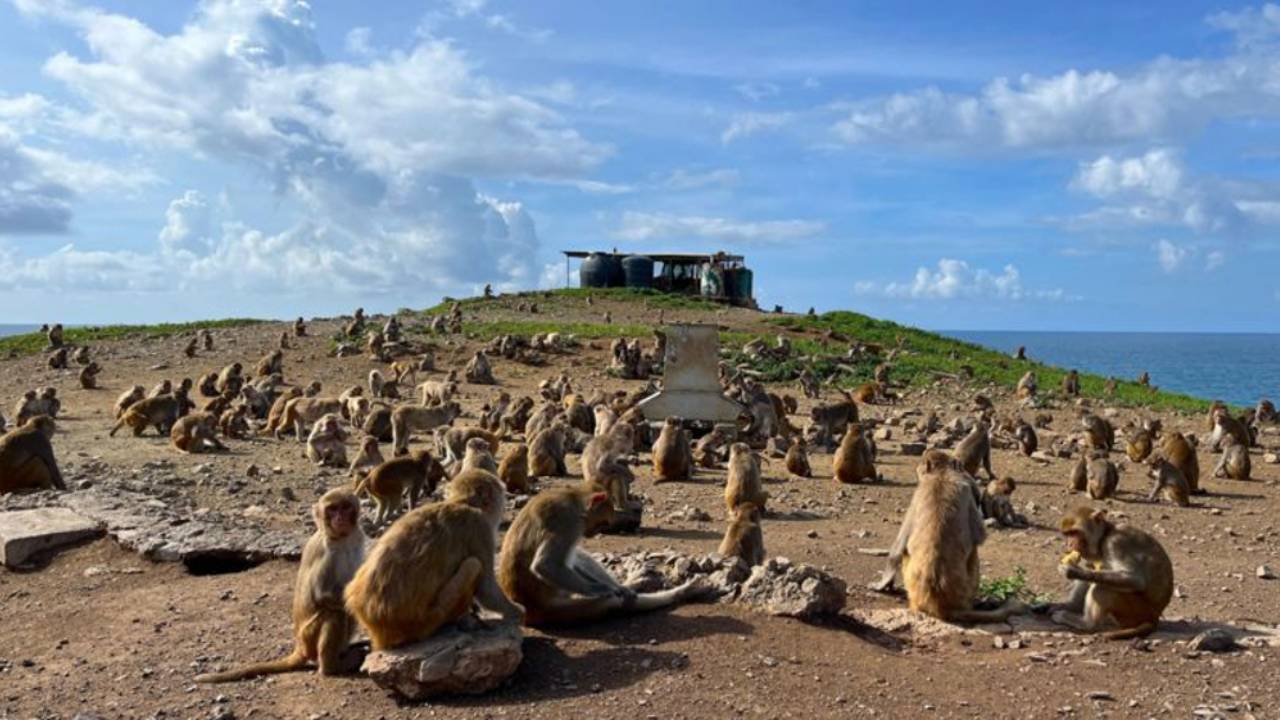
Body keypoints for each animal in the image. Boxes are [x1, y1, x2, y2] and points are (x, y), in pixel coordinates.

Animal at [196, 489, 365, 681]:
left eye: (345, 507)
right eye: (332, 509)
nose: (340, 518)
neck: (343, 539)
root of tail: (299, 647)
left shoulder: (358, 539)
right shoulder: (324, 551)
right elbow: (323, 594)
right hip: (309, 638)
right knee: (335, 613)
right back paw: (332, 667)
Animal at [345, 469, 523, 649]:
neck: (460, 503)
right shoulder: (480, 527)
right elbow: (487, 589)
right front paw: (518, 611)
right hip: (429, 619)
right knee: (473, 565)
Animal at [498, 486, 710, 628]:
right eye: (602, 523)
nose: (591, 533)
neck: (573, 499)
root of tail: (529, 611)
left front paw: (620, 587)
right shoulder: (568, 521)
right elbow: (545, 565)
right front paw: (602, 589)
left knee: (577, 557)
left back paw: (631, 585)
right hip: (554, 607)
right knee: (614, 605)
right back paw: (681, 592)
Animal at [1049, 507, 1173, 640]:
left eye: (1075, 532)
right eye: (1067, 534)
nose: (1069, 544)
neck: (1104, 537)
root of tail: (1154, 618)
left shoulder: (1116, 543)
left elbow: (1135, 580)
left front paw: (1073, 571)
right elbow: (1089, 568)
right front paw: (1069, 605)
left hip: (1137, 611)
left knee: (1101, 588)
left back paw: (1086, 623)